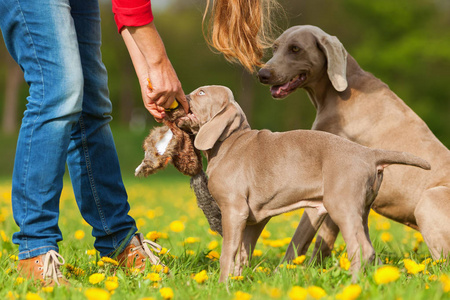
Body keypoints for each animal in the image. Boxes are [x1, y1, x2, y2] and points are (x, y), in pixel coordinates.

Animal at [179, 85, 428, 282]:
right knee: (369, 249)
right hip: (362, 209)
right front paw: (238, 281)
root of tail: (369, 153)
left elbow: (227, 252)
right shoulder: (254, 219)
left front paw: (223, 285)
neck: (228, 142)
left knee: (361, 249)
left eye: (201, 92)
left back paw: (351, 284)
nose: (181, 97)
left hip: (342, 205)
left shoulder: (234, 210)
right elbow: (243, 252)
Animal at [256, 24, 450, 262]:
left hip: (429, 199)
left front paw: (284, 269)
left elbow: (300, 237)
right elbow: (325, 239)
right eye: (275, 48)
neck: (338, 92)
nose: (262, 74)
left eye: (295, 49)